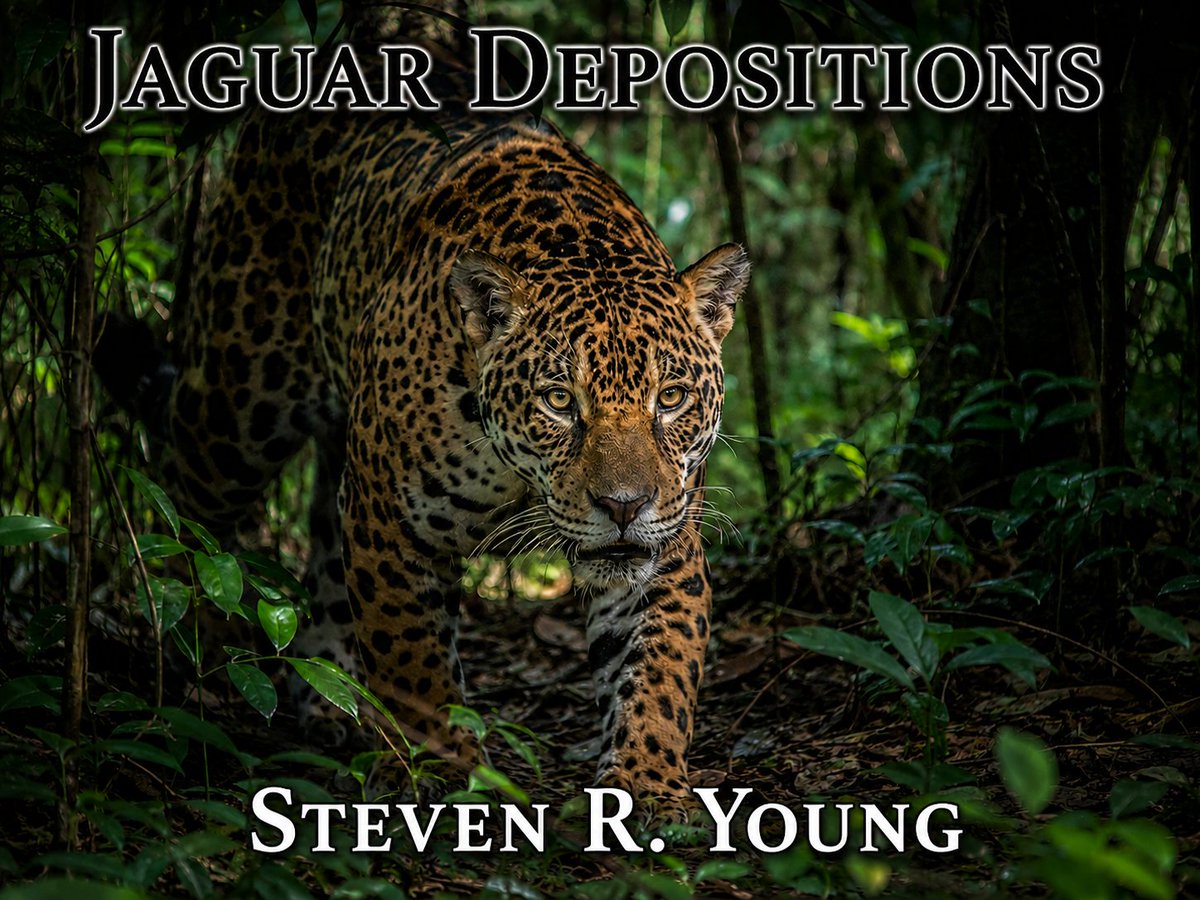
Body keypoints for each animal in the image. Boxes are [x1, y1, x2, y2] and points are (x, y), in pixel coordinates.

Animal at [95, 43, 749, 819]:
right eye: (560, 401)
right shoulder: (390, 521)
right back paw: (182, 678)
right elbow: (410, 655)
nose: (623, 507)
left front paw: (647, 786)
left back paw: (330, 696)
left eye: (670, 398)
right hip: (235, 405)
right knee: (185, 511)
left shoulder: (666, 542)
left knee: (322, 545)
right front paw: (438, 767)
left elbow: (660, 668)